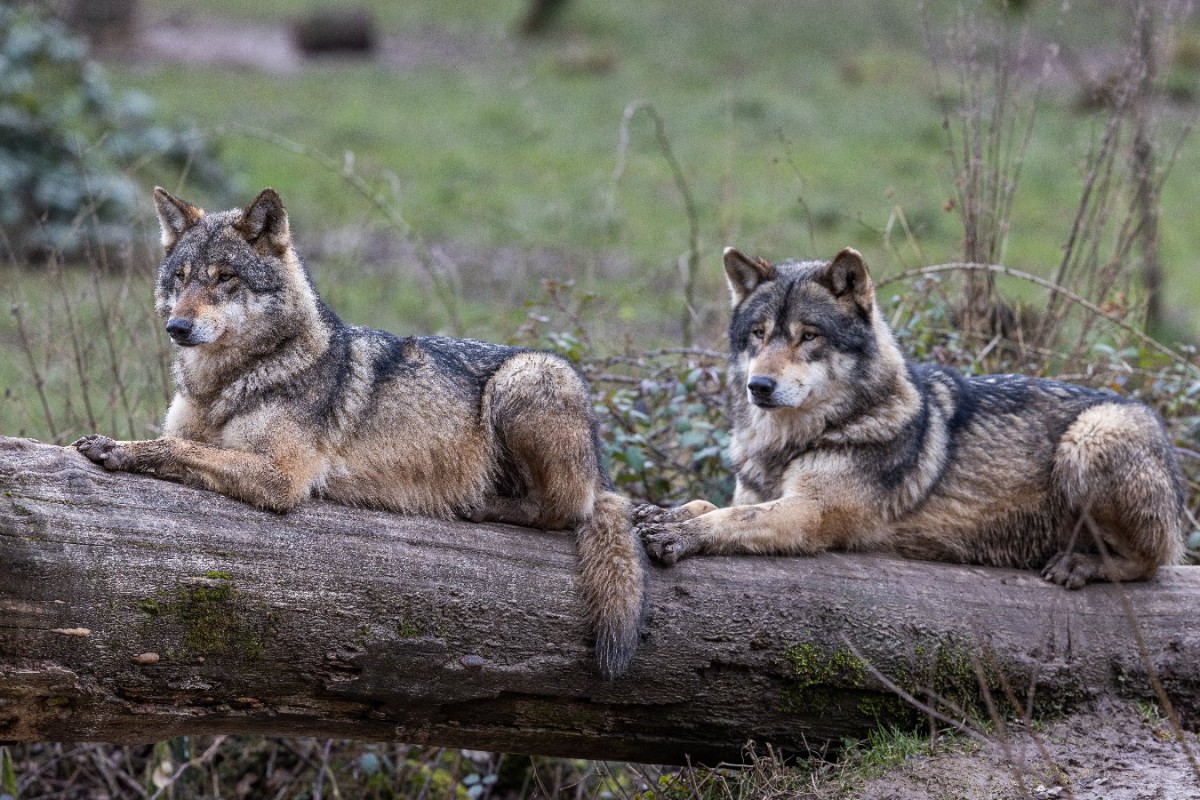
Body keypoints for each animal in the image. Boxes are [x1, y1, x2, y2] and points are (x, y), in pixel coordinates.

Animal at [75, 185, 648, 676]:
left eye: (223, 278)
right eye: (182, 277)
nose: (177, 327)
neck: (225, 384)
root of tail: (601, 466)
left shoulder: (283, 477)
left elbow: (173, 448)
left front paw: (114, 449)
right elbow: (177, 440)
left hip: (525, 379)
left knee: (563, 512)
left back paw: (480, 504)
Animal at [638, 245, 1180, 587]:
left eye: (809, 336)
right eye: (758, 333)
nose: (759, 387)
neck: (793, 442)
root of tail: (1152, 419)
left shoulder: (809, 514)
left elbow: (733, 516)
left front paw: (677, 534)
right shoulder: (761, 492)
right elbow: (711, 503)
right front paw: (663, 513)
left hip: (1090, 437)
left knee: (1153, 563)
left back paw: (1080, 566)